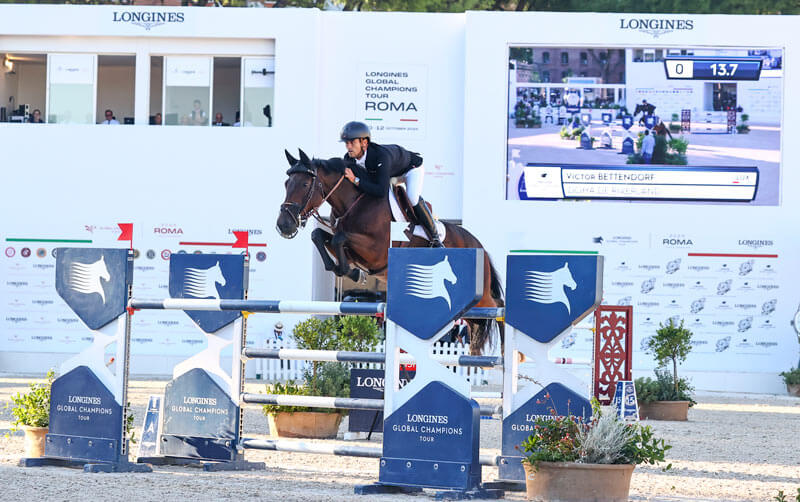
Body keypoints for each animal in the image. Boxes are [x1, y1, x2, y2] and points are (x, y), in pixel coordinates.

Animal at [276, 149, 504, 355]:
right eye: (286, 184)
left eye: (305, 184)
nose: (284, 225)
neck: (354, 203)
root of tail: (480, 246)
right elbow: (319, 236)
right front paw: (349, 271)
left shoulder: (376, 252)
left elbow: (340, 238)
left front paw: (351, 271)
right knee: (477, 324)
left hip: (480, 295)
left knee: (498, 305)